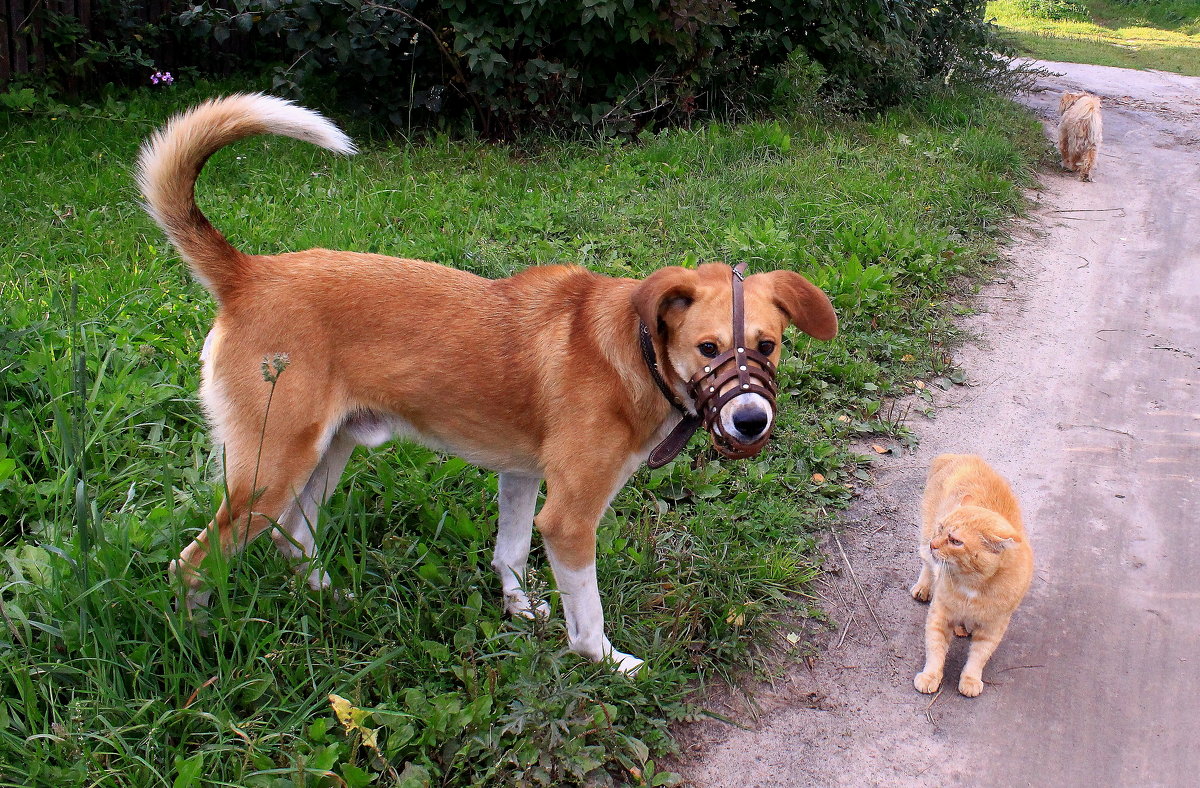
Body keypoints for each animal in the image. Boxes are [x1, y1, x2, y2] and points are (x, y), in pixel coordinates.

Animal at [138, 92, 835, 671]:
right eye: (708, 348)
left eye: (767, 346)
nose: (752, 419)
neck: (634, 354)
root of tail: (247, 274)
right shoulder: (571, 520)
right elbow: (588, 617)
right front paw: (609, 664)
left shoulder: (520, 476)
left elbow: (509, 553)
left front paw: (519, 611)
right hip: (268, 472)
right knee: (189, 565)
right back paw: (197, 642)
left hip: (324, 454)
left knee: (295, 539)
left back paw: (333, 601)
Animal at [907, 455, 1032, 695]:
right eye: (941, 528)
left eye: (956, 541)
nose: (934, 544)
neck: (973, 586)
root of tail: (960, 455)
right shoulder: (940, 613)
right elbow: (935, 649)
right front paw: (930, 676)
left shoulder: (994, 626)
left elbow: (979, 656)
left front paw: (971, 679)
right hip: (925, 537)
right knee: (927, 564)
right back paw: (924, 588)